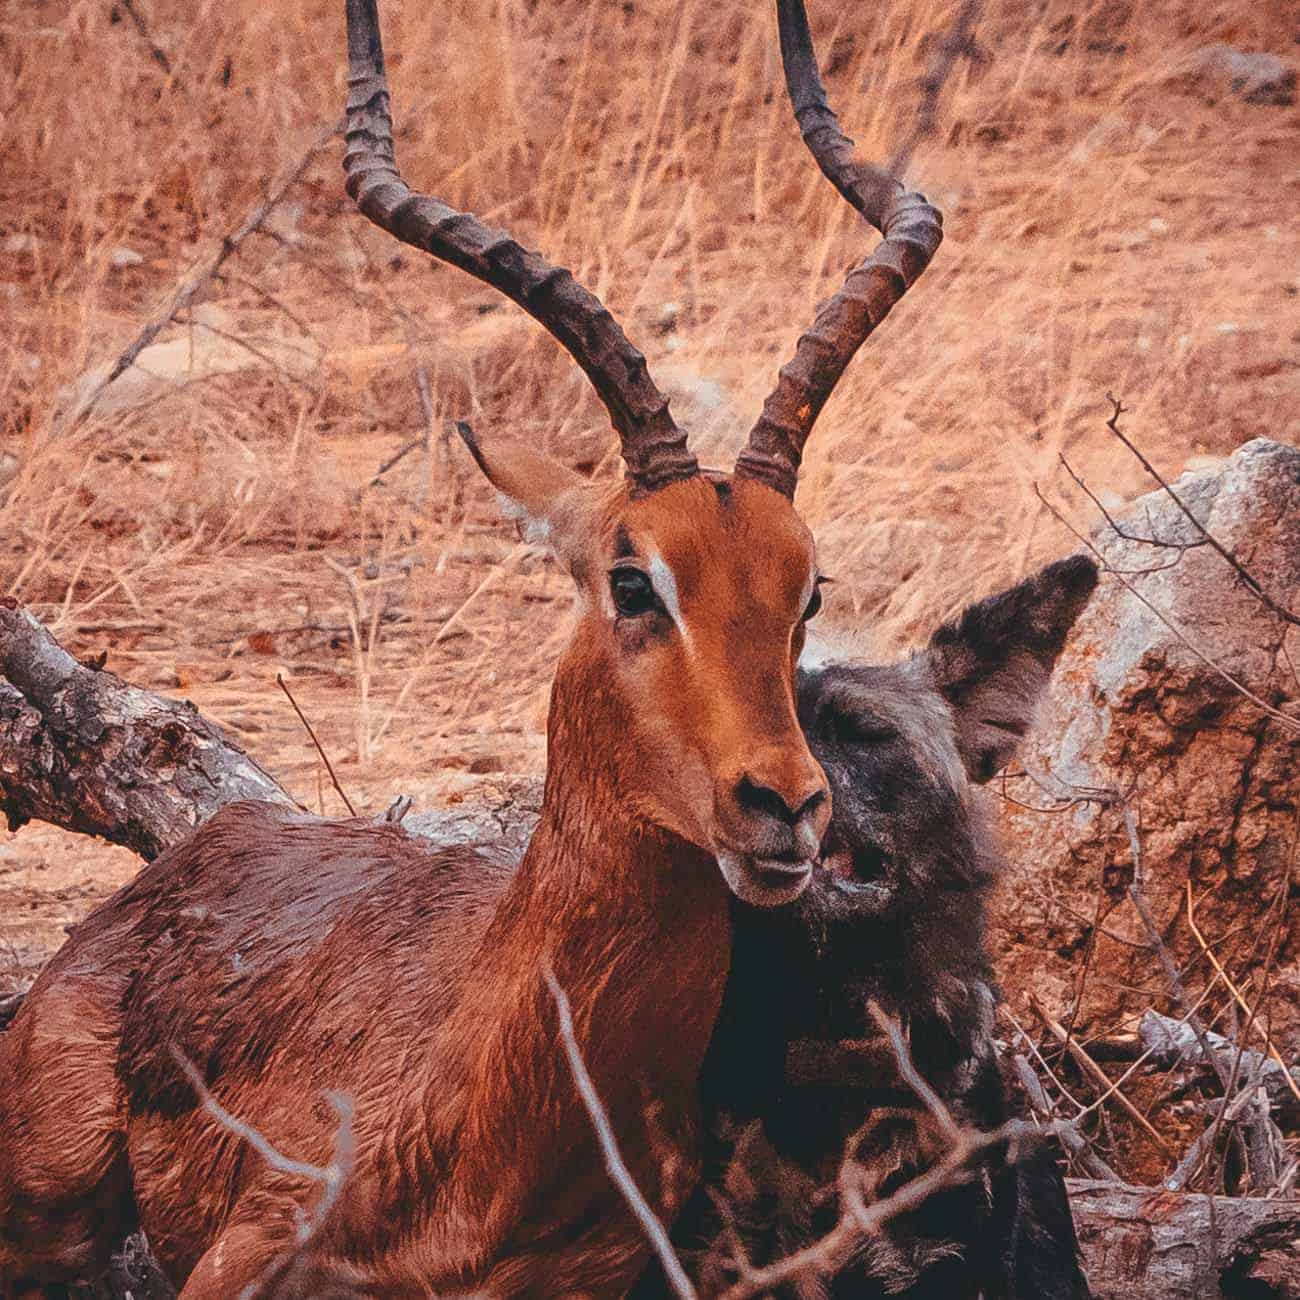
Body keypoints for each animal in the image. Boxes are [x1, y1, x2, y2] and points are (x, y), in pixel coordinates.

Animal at [0, 0, 943, 1294]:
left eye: (809, 588)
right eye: (632, 579)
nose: (786, 807)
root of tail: (200, 851)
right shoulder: (245, 1252)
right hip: (51, 1200)